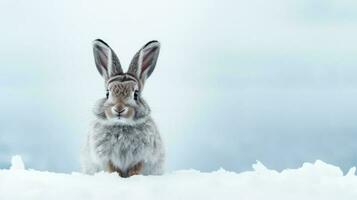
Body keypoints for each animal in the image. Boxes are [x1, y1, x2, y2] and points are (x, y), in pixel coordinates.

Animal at [80, 39, 164, 178]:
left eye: (136, 94)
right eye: (107, 93)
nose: (119, 109)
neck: (122, 125)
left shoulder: (142, 156)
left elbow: (136, 168)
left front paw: (134, 176)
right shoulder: (107, 157)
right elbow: (113, 168)